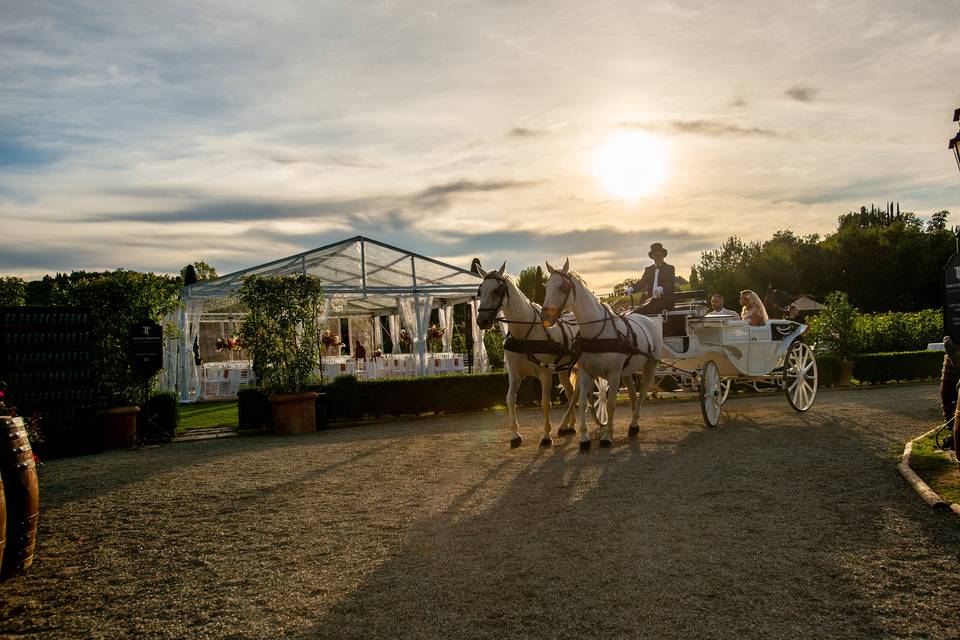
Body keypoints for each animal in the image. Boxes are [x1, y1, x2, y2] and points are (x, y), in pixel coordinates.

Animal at [474, 262, 576, 448]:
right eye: (480, 291)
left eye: (496, 291)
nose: (481, 321)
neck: (525, 335)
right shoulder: (515, 374)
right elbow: (510, 400)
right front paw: (515, 435)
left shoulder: (545, 374)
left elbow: (545, 403)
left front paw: (546, 436)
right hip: (564, 370)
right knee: (571, 393)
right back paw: (569, 426)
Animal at [536, 260, 664, 450]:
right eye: (546, 287)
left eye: (563, 287)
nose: (545, 317)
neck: (597, 332)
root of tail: (647, 319)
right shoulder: (586, 373)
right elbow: (582, 402)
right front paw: (584, 437)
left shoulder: (613, 374)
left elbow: (610, 405)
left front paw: (607, 436)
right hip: (626, 372)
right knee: (633, 393)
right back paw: (633, 424)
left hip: (649, 366)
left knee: (642, 393)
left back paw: (634, 422)